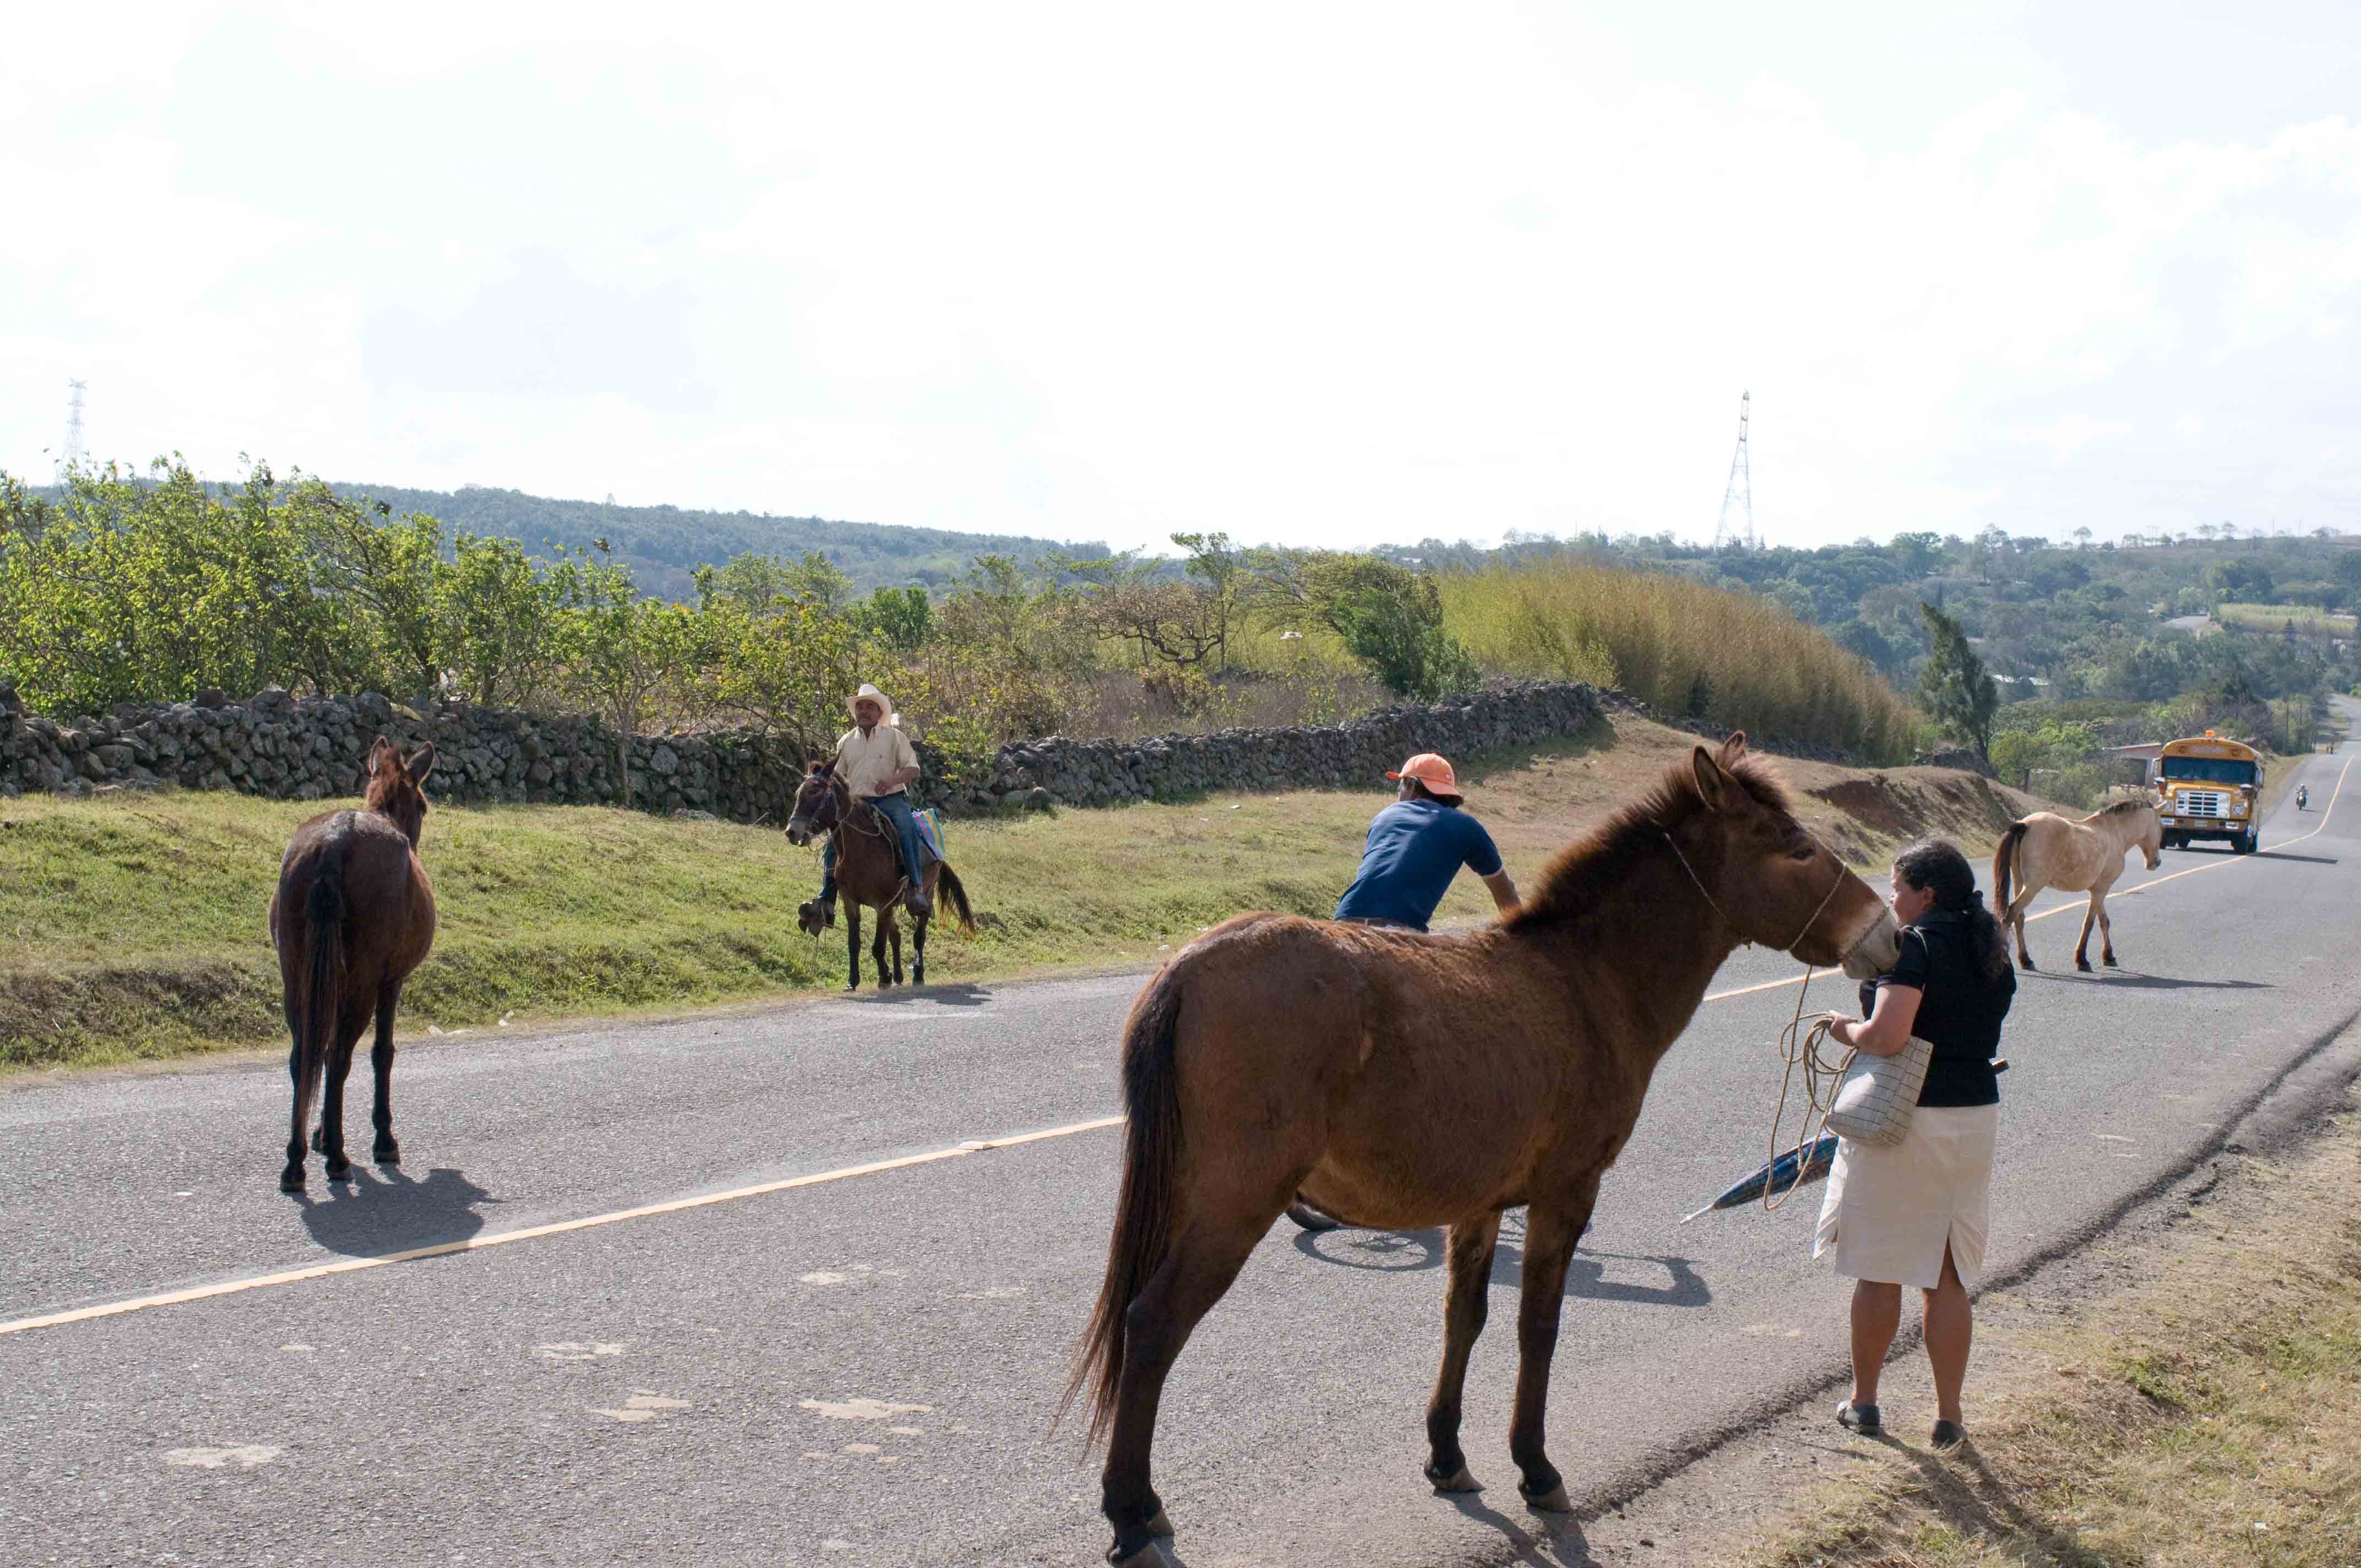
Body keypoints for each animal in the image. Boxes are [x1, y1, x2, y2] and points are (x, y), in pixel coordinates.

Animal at [270, 737, 441, 1190]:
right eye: (422, 805)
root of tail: (335, 840)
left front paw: (321, 1131)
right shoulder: (391, 981)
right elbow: (383, 1053)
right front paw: (382, 1138)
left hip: (297, 978)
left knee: (305, 1056)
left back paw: (296, 1161)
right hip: (363, 983)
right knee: (340, 1057)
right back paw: (337, 1158)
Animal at [788, 760, 972, 992]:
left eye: (815, 792)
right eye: (798, 793)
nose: (791, 832)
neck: (862, 849)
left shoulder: (883, 904)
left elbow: (878, 946)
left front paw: (884, 977)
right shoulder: (851, 902)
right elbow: (855, 943)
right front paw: (853, 981)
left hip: (925, 895)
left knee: (918, 936)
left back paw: (917, 975)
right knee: (896, 935)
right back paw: (899, 976)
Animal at [1067, 737, 1898, 1567]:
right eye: (1796, 849)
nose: (1890, 935)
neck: (1587, 981)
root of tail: (1193, 963)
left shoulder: (1480, 1205)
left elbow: (1463, 1318)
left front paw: (1448, 1456)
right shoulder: (1567, 1194)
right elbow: (1539, 1327)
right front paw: (1535, 1466)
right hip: (1233, 1209)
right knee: (1151, 1326)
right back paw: (1131, 1512)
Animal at [1993, 803, 2162, 973]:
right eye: (2161, 828)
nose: (2157, 863)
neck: (2115, 832)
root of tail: (2025, 824)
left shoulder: (2099, 890)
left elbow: (2104, 922)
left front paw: (2109, 957)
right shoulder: (2101, 890)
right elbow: (2089, 923)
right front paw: (2082, 960)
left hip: (2019, 881)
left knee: (2019, 918)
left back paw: (2026, 960)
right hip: (2033, 887)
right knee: (2010, 914)